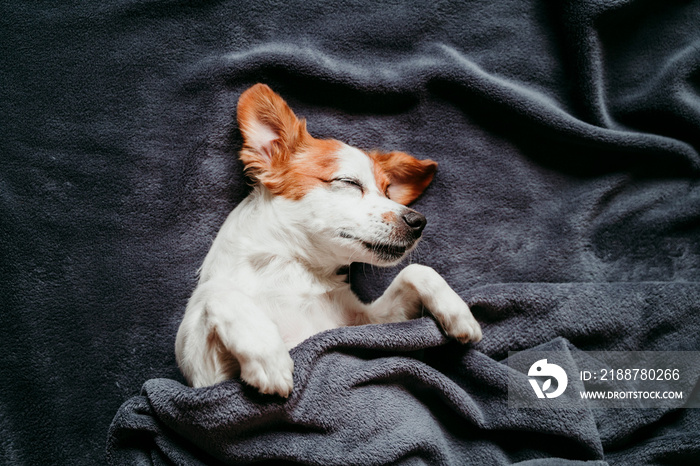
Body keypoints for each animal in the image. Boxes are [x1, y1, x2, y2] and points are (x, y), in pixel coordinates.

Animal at [175, 84, 482, 396]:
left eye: (388, 192)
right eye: (349, 182)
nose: (419, 222)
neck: (298, 269)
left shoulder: (366, 326)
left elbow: (416, 271)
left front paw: (459, 313)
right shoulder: (207, 382)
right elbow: (218, 293)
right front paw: (267, 353)